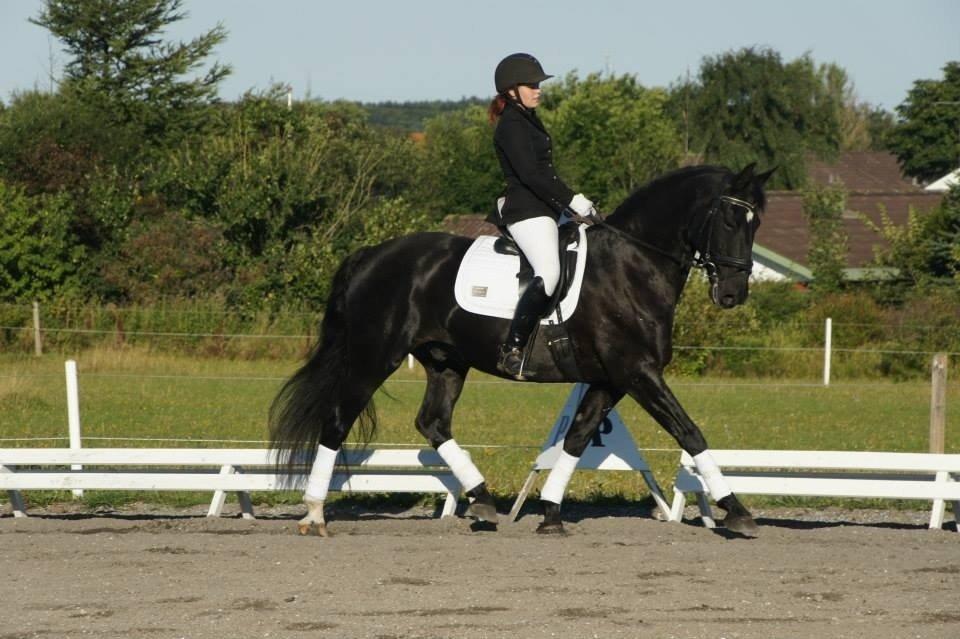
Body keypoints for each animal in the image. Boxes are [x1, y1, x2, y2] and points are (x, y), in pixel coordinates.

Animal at [269, 162, 775, 537]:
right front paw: (736, 510)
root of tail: (371, 254)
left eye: (757, 222)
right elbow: (689, 432)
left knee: (433, 423)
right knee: (338, 421)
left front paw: (550, 513)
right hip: (375, 357)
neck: (632, 265)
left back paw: (483, 501)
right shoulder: (638, 372)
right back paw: (314, 513)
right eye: (731, 219)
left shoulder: (610, 378)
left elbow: (577, 438)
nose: (733, 294)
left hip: (446, 362)